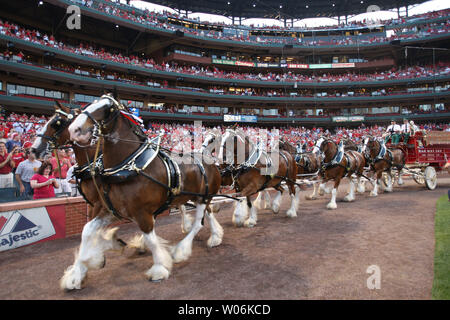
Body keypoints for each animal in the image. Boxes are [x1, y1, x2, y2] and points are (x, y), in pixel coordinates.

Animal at [66, 94, 221, 288]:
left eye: (107, 108)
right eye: (88, 104)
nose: (74, 129)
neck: (128, 166)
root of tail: (207, 156)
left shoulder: (142, 212)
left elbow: (151, 240)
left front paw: (159, 268)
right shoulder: (110, 209)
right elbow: (87, 231)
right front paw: (77, 273)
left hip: (203, 198)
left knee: (198, 223)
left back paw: (180, 251)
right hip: (198, 197)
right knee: (208, 214)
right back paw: (215, 236)